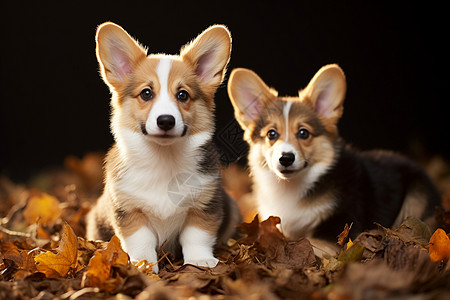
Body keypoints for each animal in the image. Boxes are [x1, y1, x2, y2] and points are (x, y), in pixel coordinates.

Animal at [88, 22, 243, 274]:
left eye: (183, 95)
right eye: (146, 93)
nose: (166, 121)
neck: (164, 158)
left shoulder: (204, 205)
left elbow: (196, 236)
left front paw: (200, 261)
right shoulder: (129, 210)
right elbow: (141, 240)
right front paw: (143, 264)